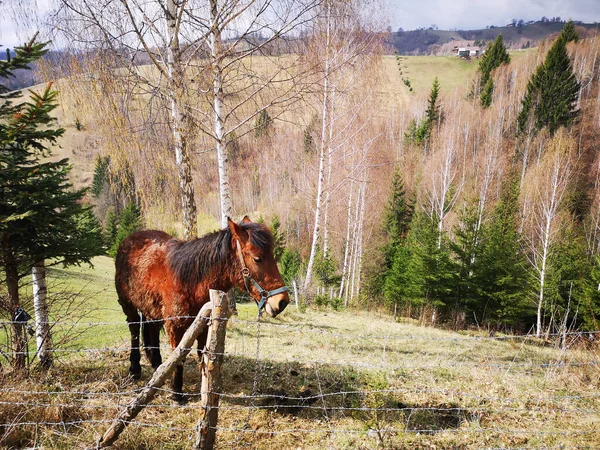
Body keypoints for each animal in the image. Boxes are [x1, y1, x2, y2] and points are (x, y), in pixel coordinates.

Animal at [116, 216, 290, 400]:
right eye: (257, 258)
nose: (282, 301)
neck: (190, 281)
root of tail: (129, 240)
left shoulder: (204, 325)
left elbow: (203, 355)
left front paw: (206, 390)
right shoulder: (175, 327)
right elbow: (179, 356)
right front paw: (177, 392)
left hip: (152, 309)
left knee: (152, 330)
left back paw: (157, 367)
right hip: (128, 305)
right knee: (134, 331)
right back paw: (135, 369)